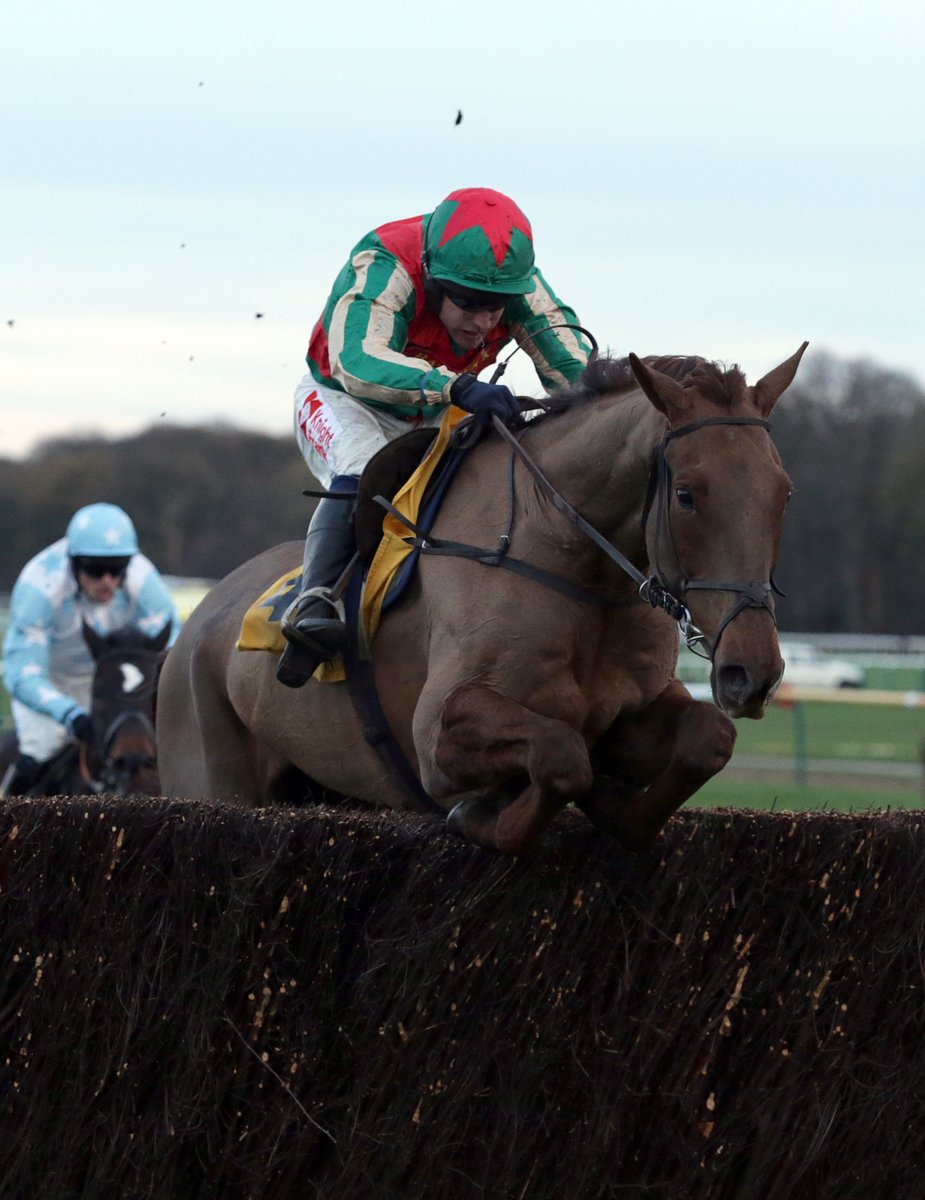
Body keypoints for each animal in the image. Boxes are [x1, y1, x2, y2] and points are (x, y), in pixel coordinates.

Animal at [155, 348, 806, 854]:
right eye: (687, 494)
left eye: (783, 492)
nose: (752, 673)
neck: (577, 572)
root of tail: (198, 617)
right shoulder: (437, 735)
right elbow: (561, 754)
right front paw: (481, 814)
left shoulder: (631, 712)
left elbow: (706, 738)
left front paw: (613, 801)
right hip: (209, 776)